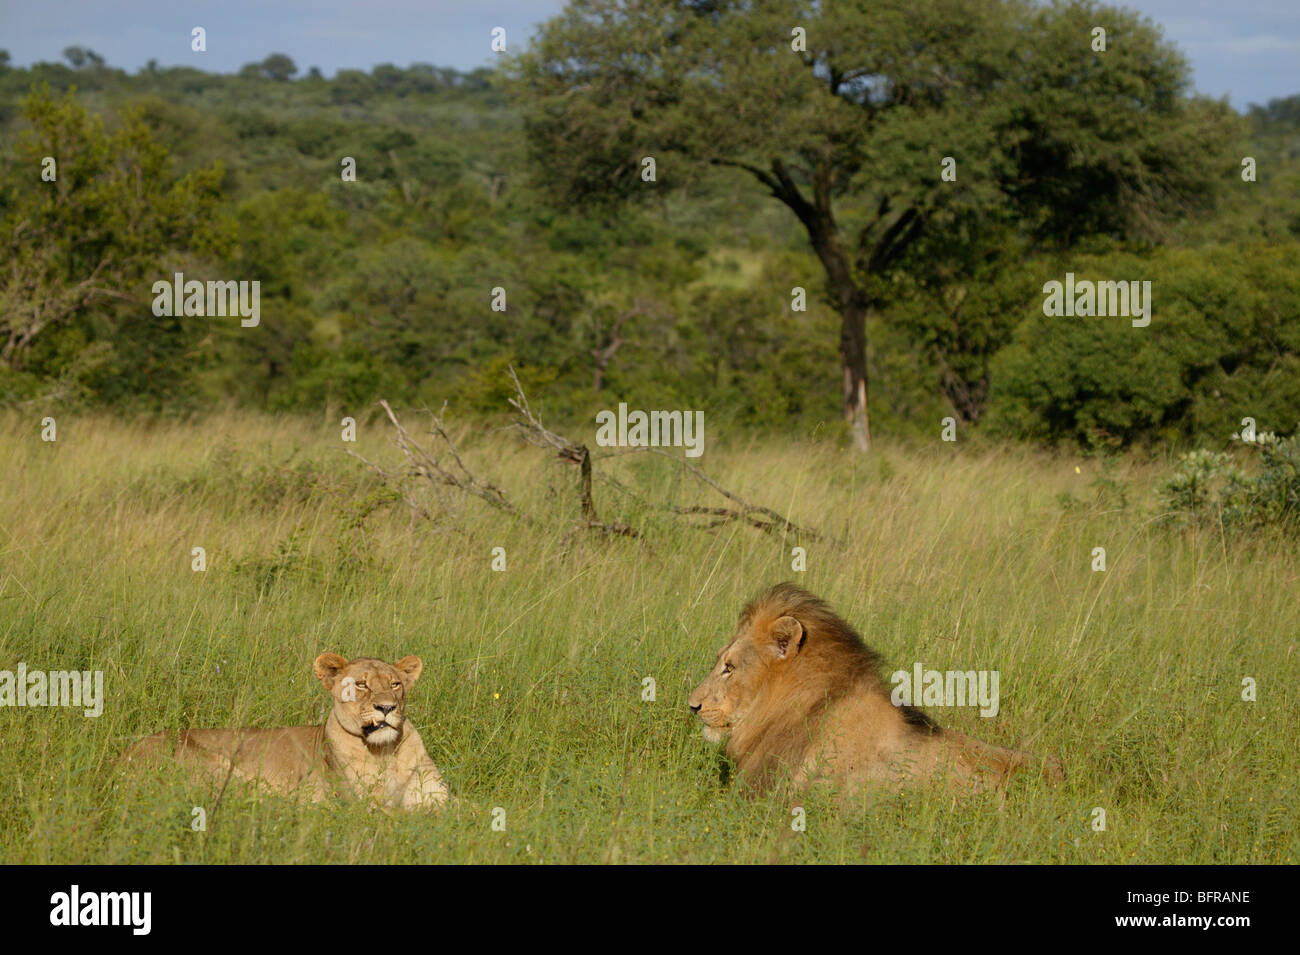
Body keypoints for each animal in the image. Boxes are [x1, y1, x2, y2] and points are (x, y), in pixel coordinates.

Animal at [120, 653, 449, 811]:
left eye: (395, 684)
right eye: (361, 684)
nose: (386, 707)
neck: (385, 752)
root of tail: (119, 761)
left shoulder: (436, 795)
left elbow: (457, 812)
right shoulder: (362, 804)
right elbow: (406, 816)